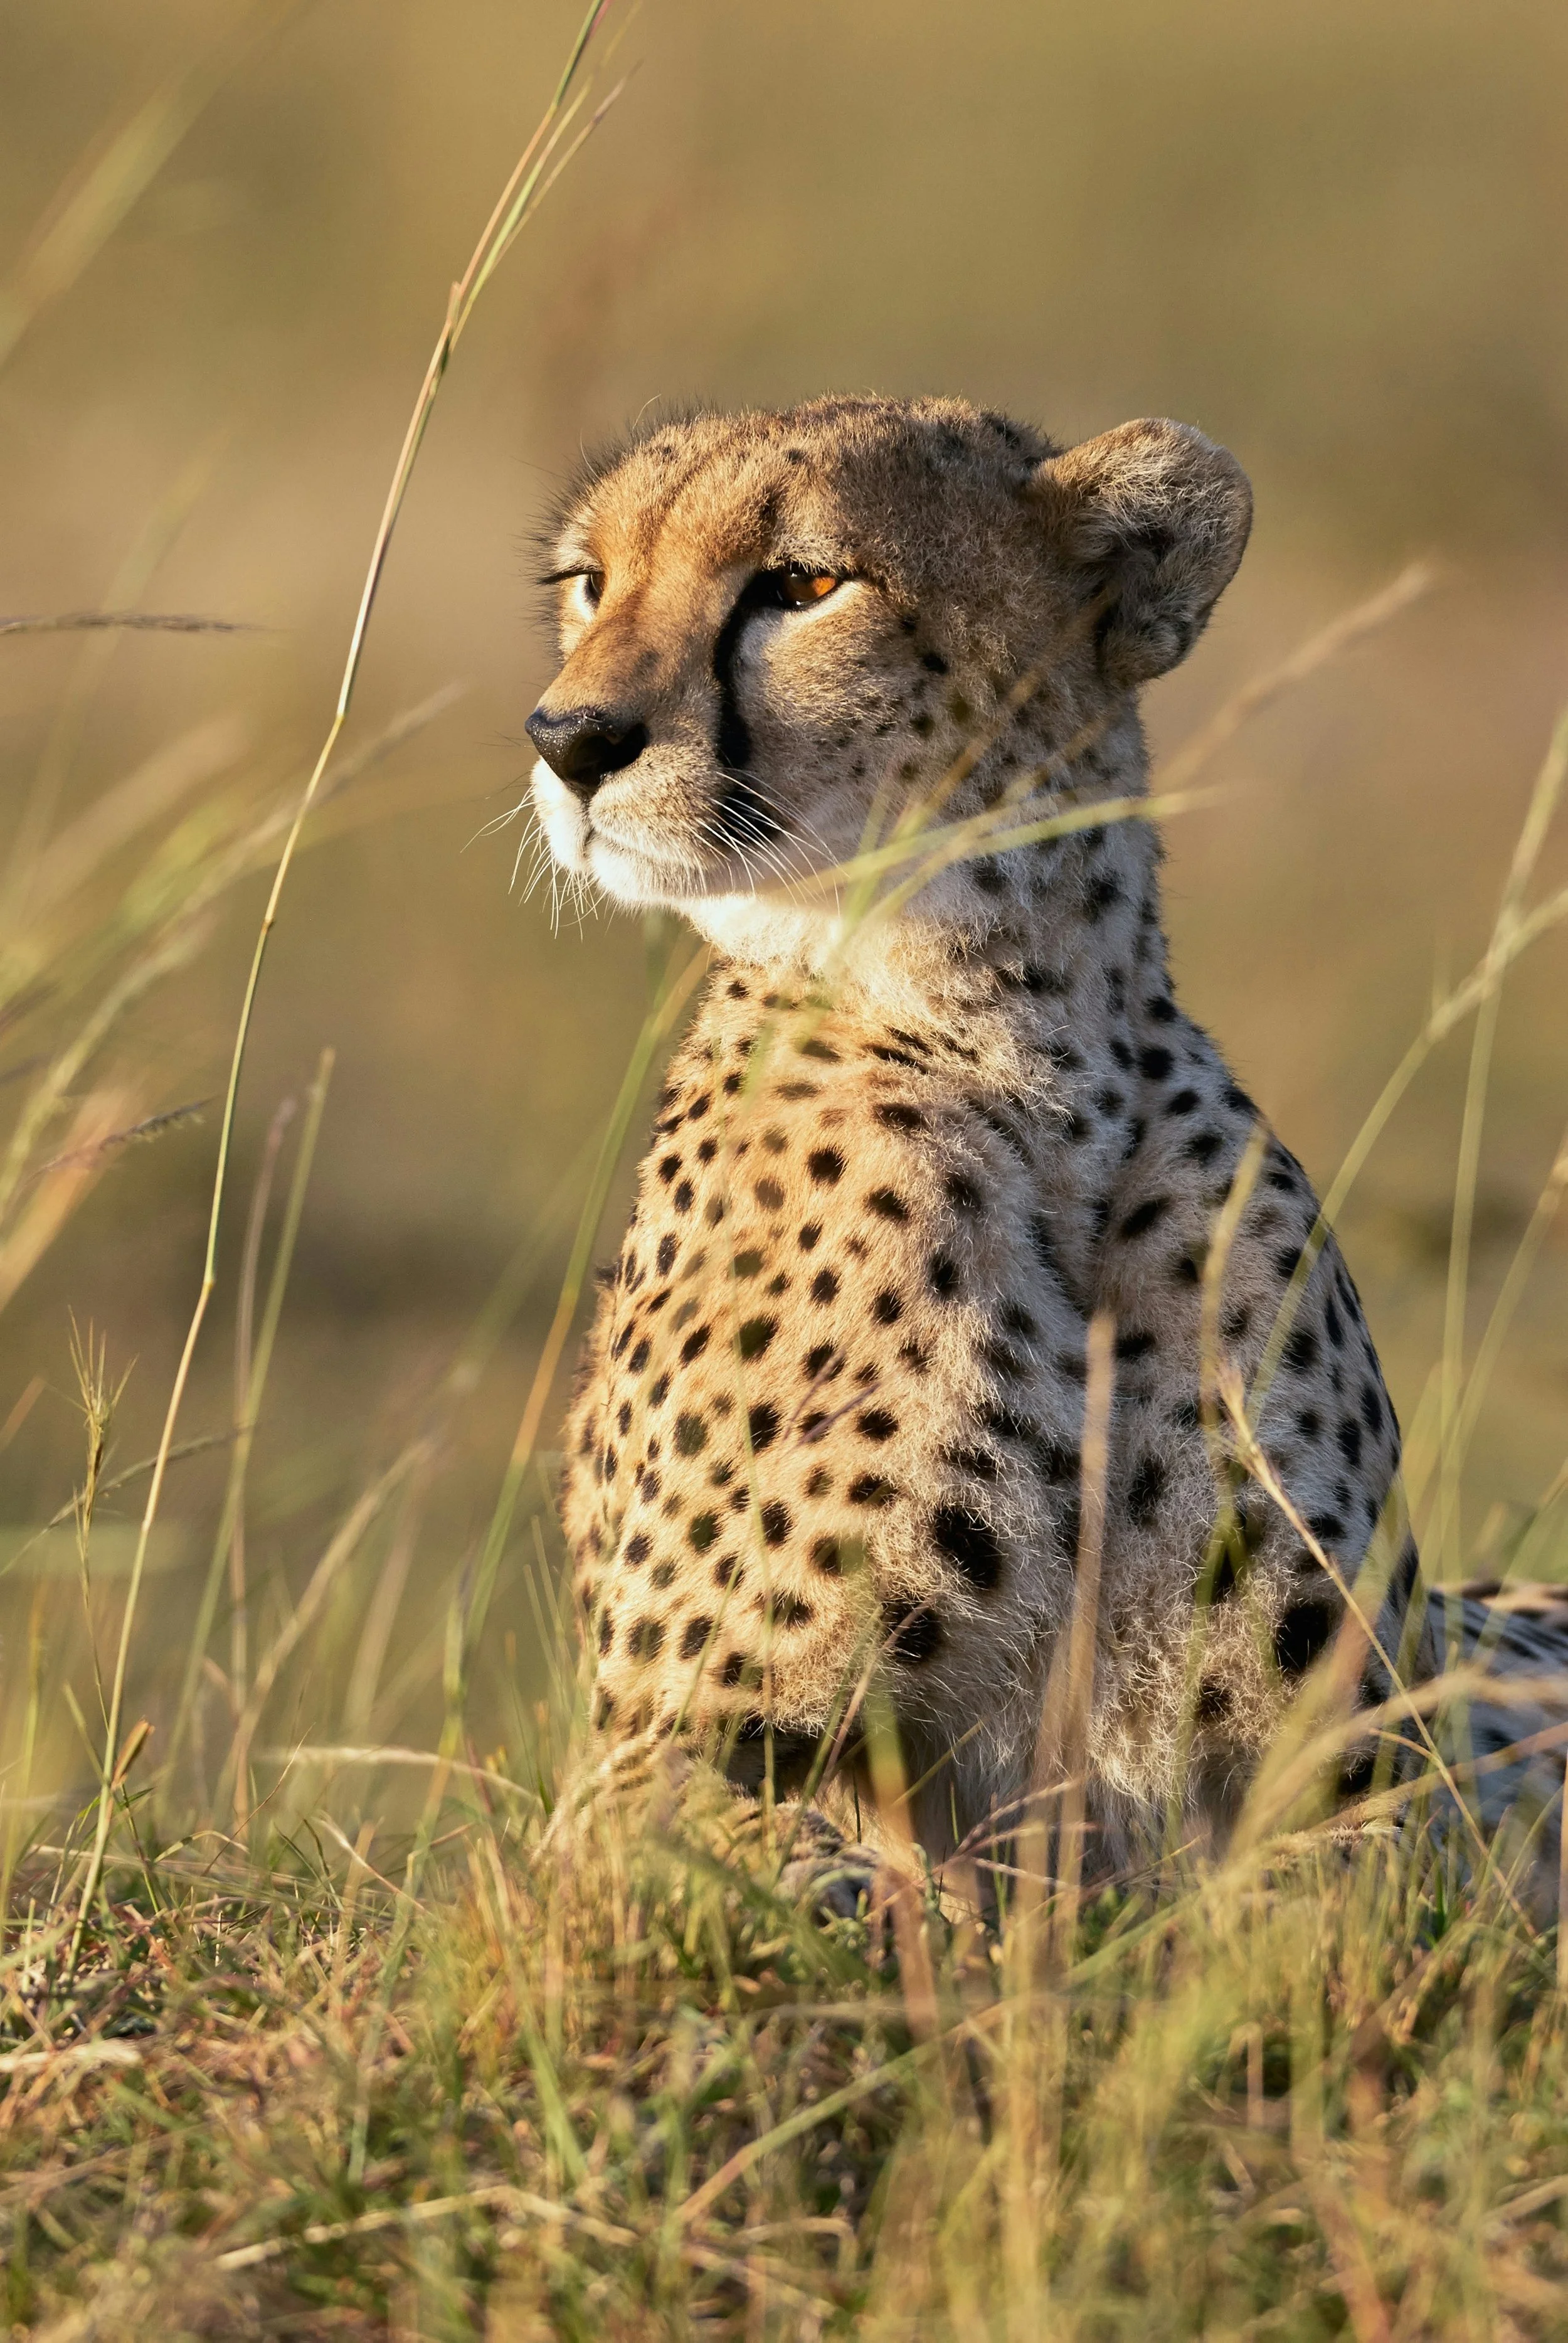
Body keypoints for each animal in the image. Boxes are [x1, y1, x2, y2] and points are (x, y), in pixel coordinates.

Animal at [523, 393, 1568, 1892]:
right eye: (589, 581)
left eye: (801, 584)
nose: (570, 738)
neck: (1029, 1048)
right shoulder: (650, 1751)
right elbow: (825, 1872)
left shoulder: (1373, 1769)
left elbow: (1309, 1889)